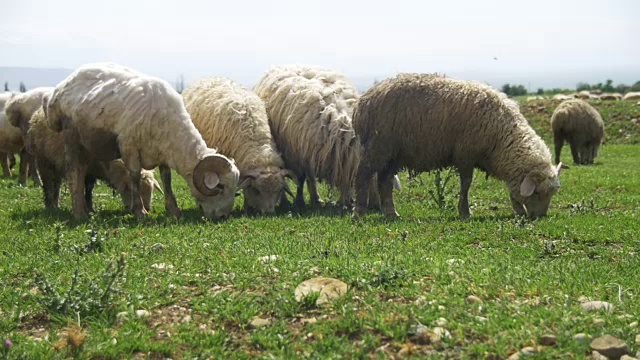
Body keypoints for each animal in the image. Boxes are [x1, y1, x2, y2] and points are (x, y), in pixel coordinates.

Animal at [28, 106, 162, 214]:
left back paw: (55, 204)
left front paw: (90, 208)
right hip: (44, 160)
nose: (147, 209)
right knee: (48, 184)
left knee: (56, 184)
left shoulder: (91, 170)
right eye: (131, 189)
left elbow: (89, 190)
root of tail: (37, 112)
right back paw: (50, 206)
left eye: (151, 191)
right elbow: (82, 187)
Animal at [45, 62, 240, 219]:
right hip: (71, 136)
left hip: (87, 144)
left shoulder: (162, 152)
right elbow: (135, 176)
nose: (222, 216)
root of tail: (60, 89)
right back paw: (79, 213)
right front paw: (140, 212)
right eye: (221, 186)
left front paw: (174, 210)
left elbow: (167, 179)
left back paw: (85, 210)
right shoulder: (128, 146)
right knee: (74, 172)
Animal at [352, 73, 564, 219]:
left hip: (392, 154)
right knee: (362, 175)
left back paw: (391, 214)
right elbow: (466, 184)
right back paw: (359, 212)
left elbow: (512, 191)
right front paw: (464, 212)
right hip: (378, 147)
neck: (500, 137)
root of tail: (363, 103)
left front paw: (518, 210)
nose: (540, 216)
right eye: (537, 192)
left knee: (384, 181)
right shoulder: (465, 154)